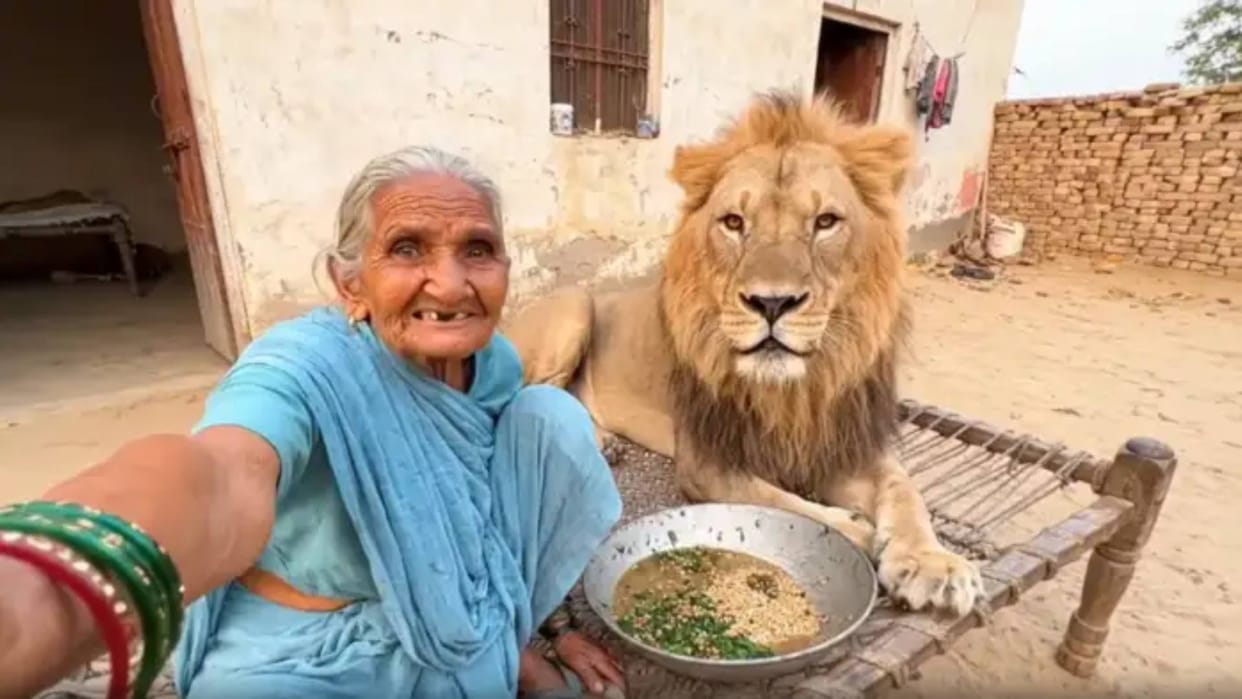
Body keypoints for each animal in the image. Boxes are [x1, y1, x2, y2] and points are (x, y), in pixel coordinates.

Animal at [504, 90, 983, 617]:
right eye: (734, 223)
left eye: (826, 222)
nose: (772, 303)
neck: (793, 388)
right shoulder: (706, 462)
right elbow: (774, 500)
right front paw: (857, 532)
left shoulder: (840, 439)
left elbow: (905, 490)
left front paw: (932, 562)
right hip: (573, 307)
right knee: (524, 396)